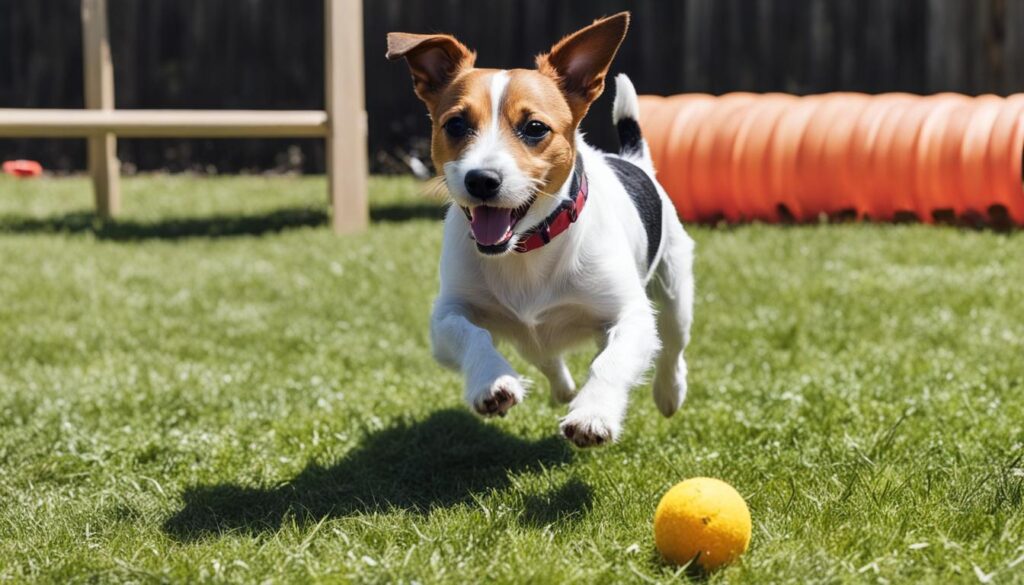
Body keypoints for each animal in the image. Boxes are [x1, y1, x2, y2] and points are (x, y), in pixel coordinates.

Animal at [385, 12, 696, 448]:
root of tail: (634, 160)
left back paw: (669, 392)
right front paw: (493, 380)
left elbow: (613, 361)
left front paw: (593, 413)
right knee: (546, 355)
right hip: (527, 333)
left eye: (534, 127)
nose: (481, 180)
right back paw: (563, 387)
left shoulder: (630, 315)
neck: (526, 248)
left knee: (671, 347)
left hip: (674, 291)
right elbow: (470, 334)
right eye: (456, 124)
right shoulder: (445, 317)